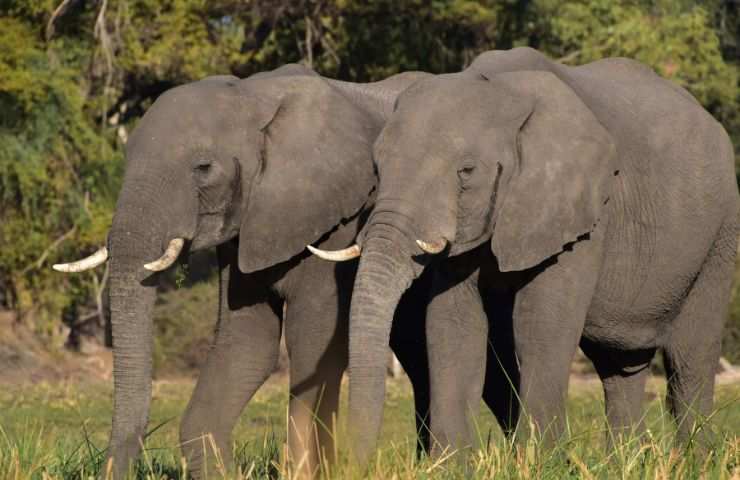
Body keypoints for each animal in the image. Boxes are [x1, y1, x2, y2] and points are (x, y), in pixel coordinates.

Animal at [55, 64, 436, 480]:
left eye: (203, 168)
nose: (116, 469)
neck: (254, 96)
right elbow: (247, 340)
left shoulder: (337, 217)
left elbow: (313, 339)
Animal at [312, 47, 740, 462]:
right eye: (377, 166)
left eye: (466, 172)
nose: (356, 465)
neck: (502, 90)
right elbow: (452, 322)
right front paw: (448, 466)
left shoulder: (580, 213)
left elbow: (541, 325)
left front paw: (541, 462)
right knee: (619, 366)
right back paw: (627, 463)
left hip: (719, 236)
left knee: (690, 356)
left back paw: (697, 463)